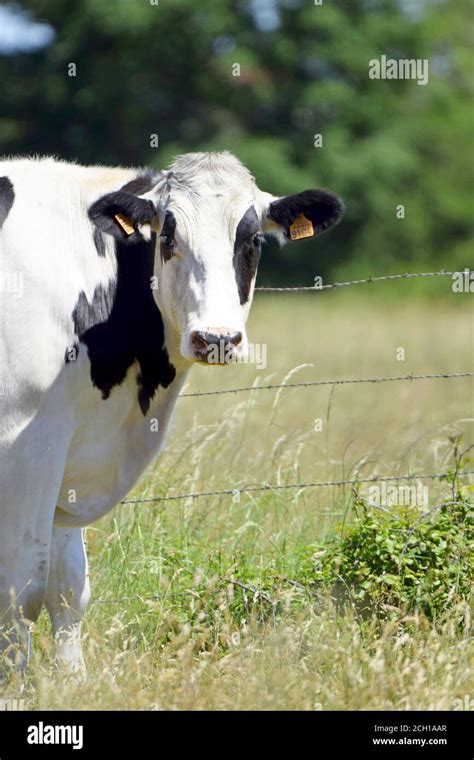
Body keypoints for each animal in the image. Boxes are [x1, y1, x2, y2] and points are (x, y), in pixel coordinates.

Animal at [0, 151, 342, 672]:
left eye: (253, 239)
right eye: (167, 236)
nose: (217, 337)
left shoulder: (72, 447)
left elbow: (68, 588)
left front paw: (72, 680)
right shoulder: (28, 440)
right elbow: (23, 587)